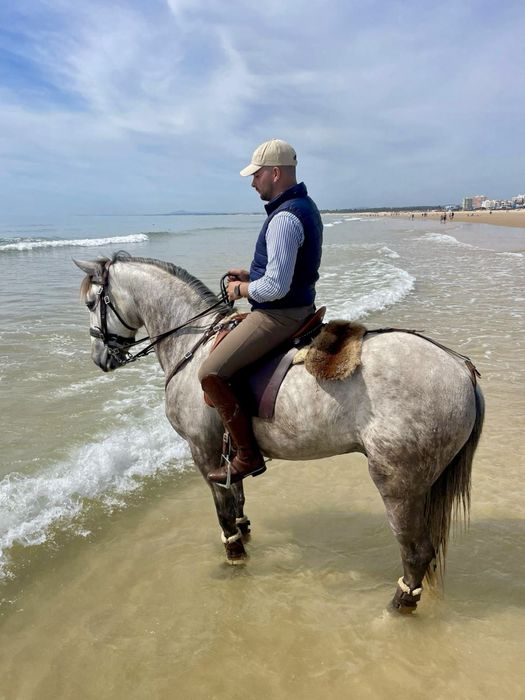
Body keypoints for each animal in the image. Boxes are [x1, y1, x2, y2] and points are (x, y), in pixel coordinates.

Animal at [74, 252, 484, 613]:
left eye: (94, 302)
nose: (100, 358)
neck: (193, 345)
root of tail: (459, 368)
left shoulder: (204, 453)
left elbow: (223, 512)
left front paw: (234, 554)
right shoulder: (231, 454)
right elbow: (237, 500)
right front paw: (243, 533)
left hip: (398, 482)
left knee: (416, 551)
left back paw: (399, 605)